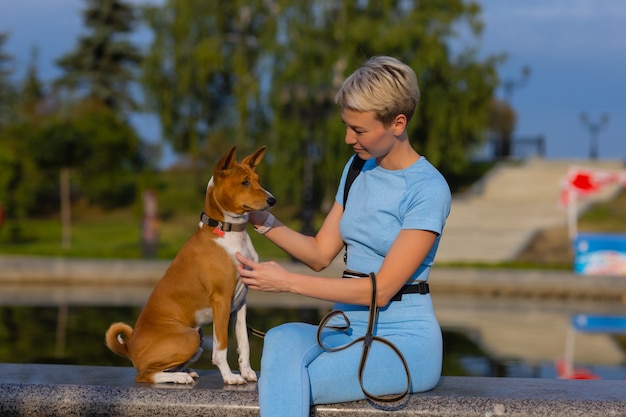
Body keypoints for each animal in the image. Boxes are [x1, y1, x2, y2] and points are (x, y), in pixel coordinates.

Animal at [105, 146, 276, 384]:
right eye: (244, 182)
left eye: (258, 180)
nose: (272, 200)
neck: (230, 233)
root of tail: (129, 346)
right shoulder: (221, 300)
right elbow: (221, 348)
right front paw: (230, 377)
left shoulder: (240, 302)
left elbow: (243, 343)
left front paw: (247, 372)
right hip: (190, 336)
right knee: (144, 375)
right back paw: (179, 377)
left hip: (198, 336)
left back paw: (184, 372)